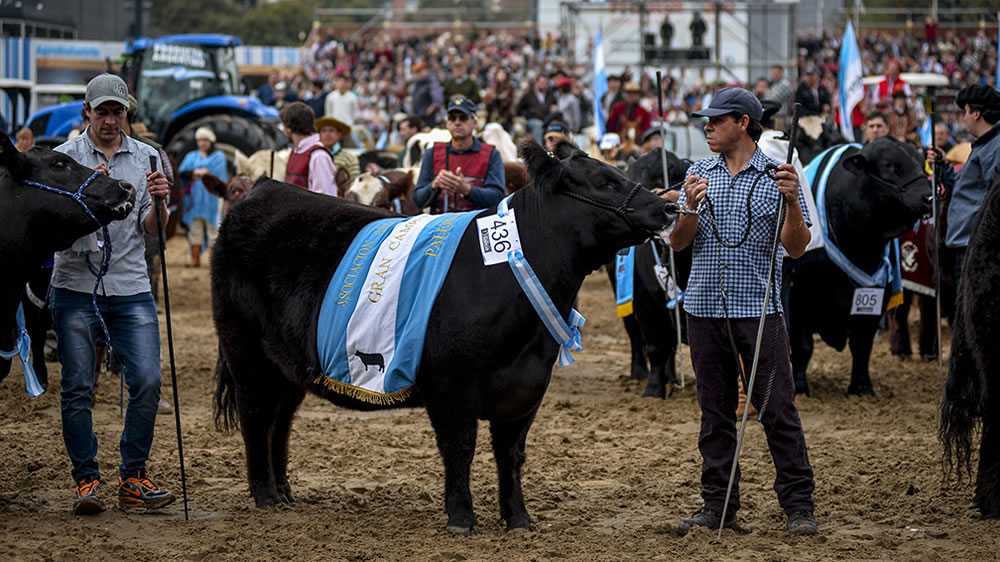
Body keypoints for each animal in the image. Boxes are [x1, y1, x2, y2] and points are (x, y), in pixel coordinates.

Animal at [212, 138, 680, 532]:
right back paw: (265, 495)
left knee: (281, 421)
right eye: (604, 182)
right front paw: (461, 518)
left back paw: (285, 491)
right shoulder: (451, 384)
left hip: (286, 365)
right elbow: (460, 447)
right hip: (244, 350)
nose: (667, 208)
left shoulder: (527, 387)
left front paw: (519, 520)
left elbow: (511, 455)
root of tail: (261, 190)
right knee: (256, 415)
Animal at [604, 147, 692, 396]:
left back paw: (671, 378)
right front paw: (653, 391)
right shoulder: (645, 300)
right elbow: (656, 345)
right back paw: (639, 373)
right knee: (635, 334)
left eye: (664, 176)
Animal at [788, 138, 936, 396]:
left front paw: (862, 387)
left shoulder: (876, 299)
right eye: (889, 165)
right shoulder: (799, 299)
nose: (929, 197)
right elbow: (803, 347)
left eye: (921, 162)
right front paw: (799, 387)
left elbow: (862, 346)